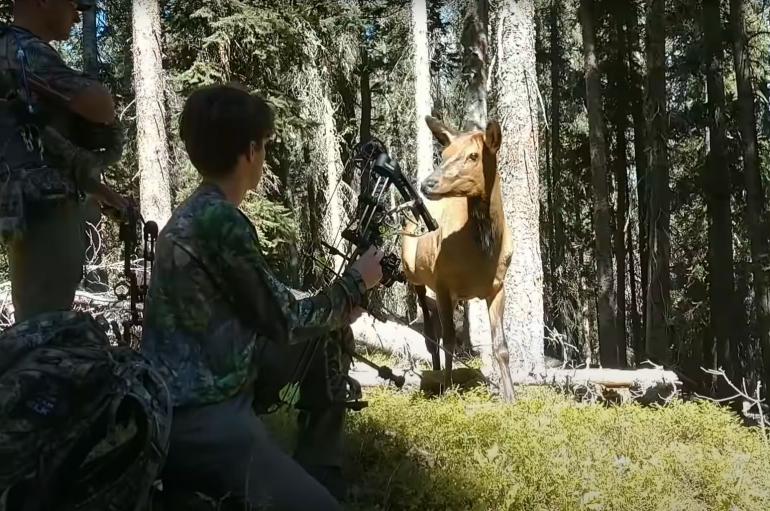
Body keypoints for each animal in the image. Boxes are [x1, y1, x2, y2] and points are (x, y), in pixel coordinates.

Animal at [401, 115, 516, 402]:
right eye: (444, 154)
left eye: (473, 155)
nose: (427, 184)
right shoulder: (443, 281)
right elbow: (450, 340)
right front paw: (447, 389)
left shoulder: (497, 286)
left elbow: (501, 345)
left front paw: (510, 396)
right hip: (413, 273)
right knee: (431, 334)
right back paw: (436, 375)